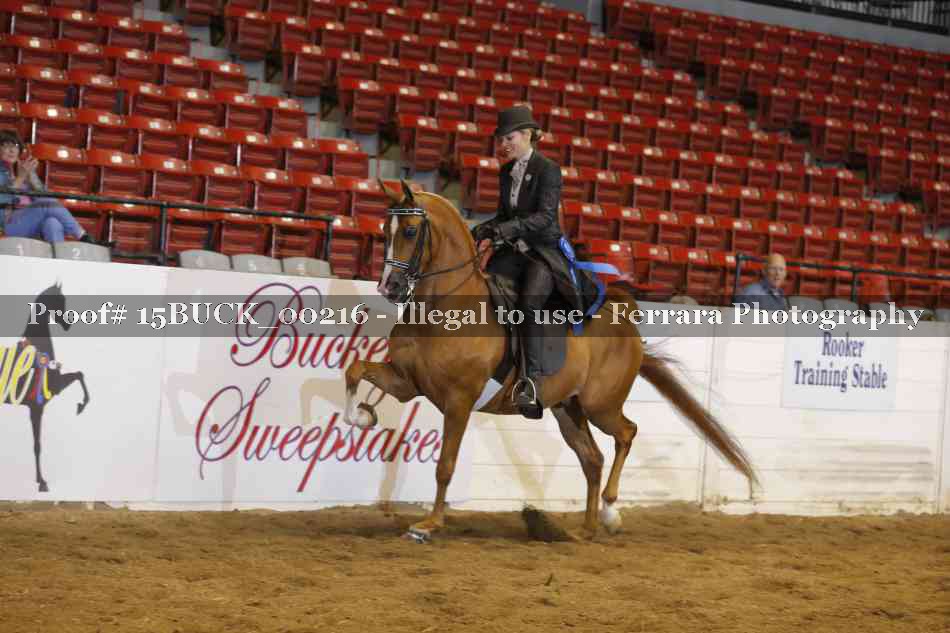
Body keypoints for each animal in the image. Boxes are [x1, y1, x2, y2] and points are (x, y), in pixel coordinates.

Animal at [3, 283, 91, 492]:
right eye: (60, 300)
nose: (68, 324)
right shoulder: (37, 407)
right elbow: (37, 445)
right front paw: (42, 482)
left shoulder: (55, 389)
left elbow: (79, 374)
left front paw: (81, 406)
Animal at [343, 182, 758, 540]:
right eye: (385, 230)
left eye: (411, 231)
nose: (390, 287)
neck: (442, 309)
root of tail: (627, 323)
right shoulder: (407, 383)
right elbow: (355, 369)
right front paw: (360, 416)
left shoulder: (458, 401)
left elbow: (445, 464)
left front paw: (428, 525)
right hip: (566, 409)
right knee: (592, 459)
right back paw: (585, 529)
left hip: (600, 405)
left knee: (626, 433)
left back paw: (610, 513)